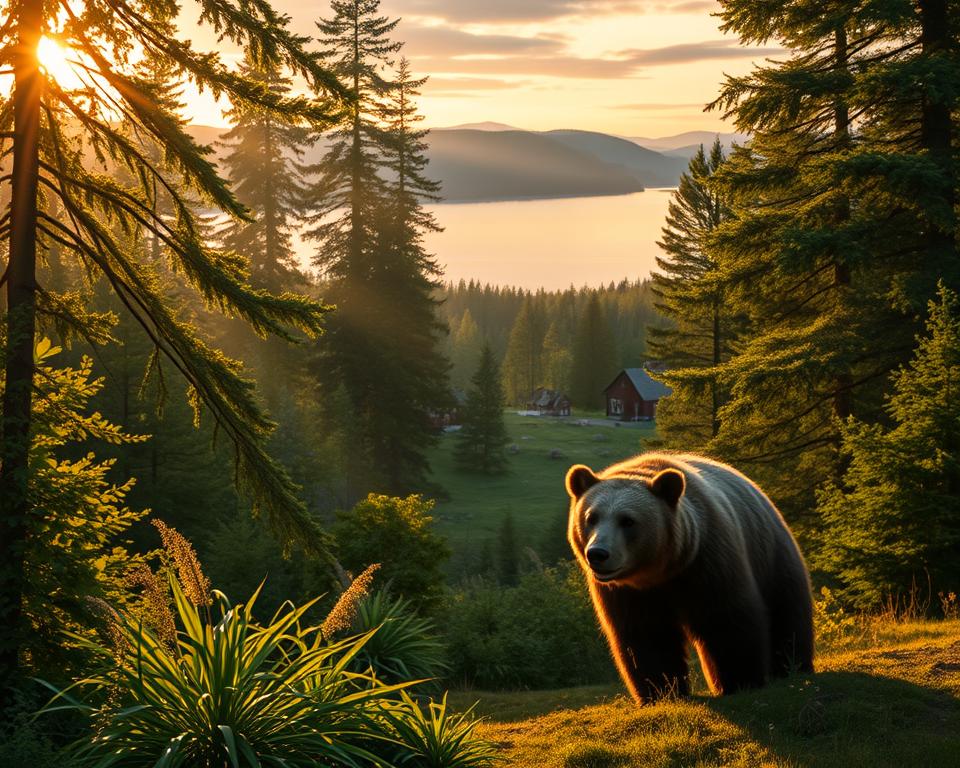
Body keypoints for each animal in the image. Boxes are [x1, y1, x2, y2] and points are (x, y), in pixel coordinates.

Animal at [565, 452, 814, 703]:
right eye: (591, 517)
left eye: (627, 520)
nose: (598, 553)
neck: (660, 572)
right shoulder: (627, 593)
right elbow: (645, 636)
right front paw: (661, 692)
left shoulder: (708, 561)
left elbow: (727, 619)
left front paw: (741, 681)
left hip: (771, 553)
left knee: (788, 611)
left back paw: (793, 666)